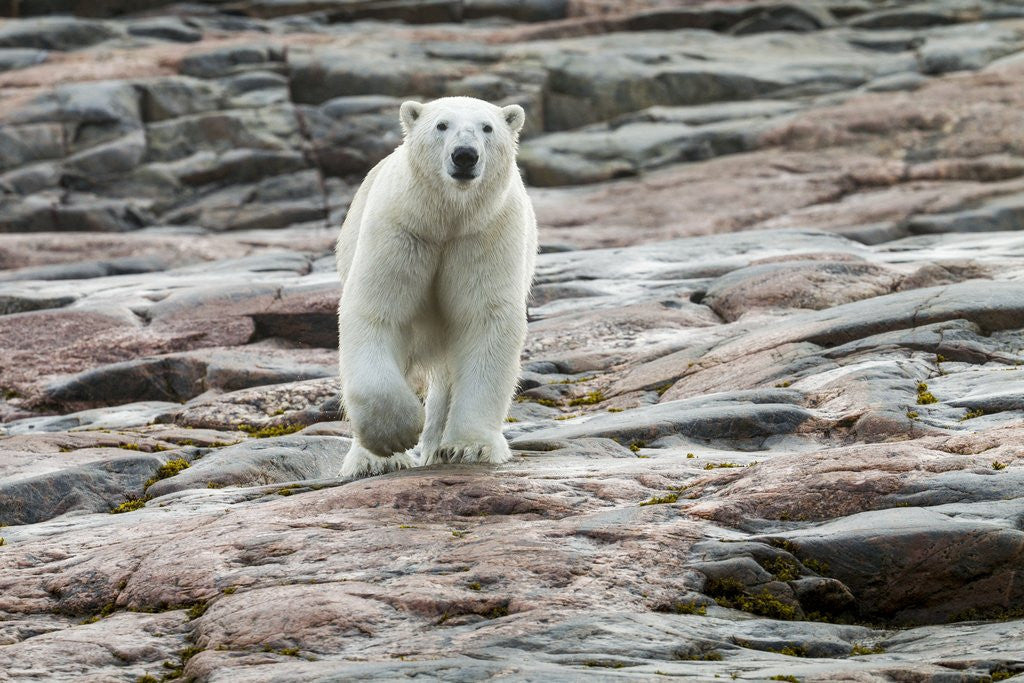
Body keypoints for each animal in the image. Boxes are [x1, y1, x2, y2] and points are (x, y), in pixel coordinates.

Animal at [335, 96, 537, 478]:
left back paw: (436, 447)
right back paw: (370, 460)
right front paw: (392, 439)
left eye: (488, 128)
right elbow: (376, 312)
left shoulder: (483, 234)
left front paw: (469, 447)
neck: (446, 219)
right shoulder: (402, 229)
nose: (465, 155)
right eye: (442, 125)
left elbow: (484, 319)